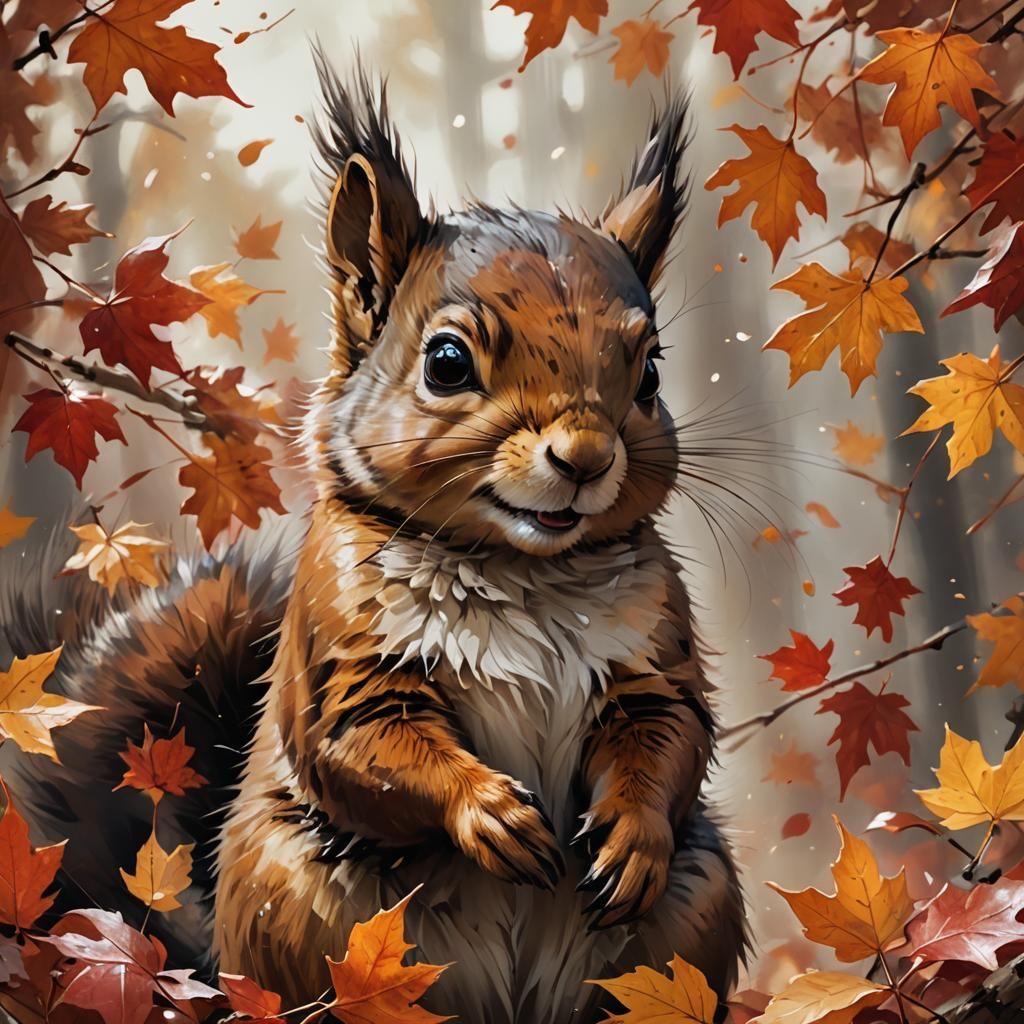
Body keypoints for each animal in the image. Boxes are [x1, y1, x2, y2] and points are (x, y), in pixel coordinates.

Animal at [0, 55, 746, 1024]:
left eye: (650, 372)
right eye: (447, 363)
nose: (584, 458)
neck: (522, 572)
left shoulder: (652, 648)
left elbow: (669, 729)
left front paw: (631, 839)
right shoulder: (341, 645)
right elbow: (364, 745)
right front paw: (490, 813)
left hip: (691, 914)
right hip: (300, 911)